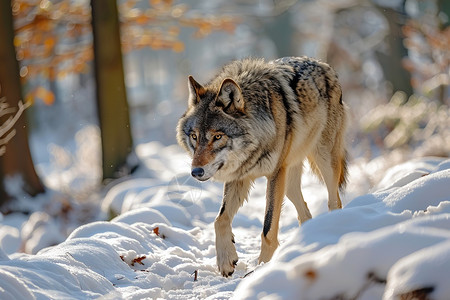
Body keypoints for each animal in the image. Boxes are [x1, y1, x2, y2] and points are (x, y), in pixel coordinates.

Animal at [176, 55, 348, 276]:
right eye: (194, 137)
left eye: (217, 137)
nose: (196, 172)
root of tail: (323, 64)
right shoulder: (239, 177)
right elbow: (219, 220)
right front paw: (226, 260)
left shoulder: (274, 175)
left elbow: (268, 230)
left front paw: (262, 268)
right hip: (289, 183)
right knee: (305, 213)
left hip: (324, 160)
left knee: (335, 202)